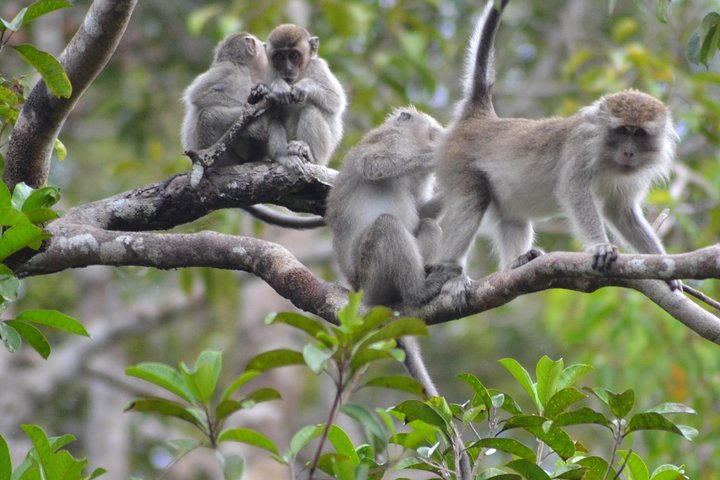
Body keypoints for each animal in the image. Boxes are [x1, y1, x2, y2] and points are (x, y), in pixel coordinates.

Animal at [263, 24, 346, 176]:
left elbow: (336, 100)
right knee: (273, 117)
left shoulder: (319, 67)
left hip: (324, 155)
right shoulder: (268, 72)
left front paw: (305, 86)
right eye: (279, 57)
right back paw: (283, 157)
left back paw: (308, 152)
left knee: (310, 110)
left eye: (293, 55)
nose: (288, 68)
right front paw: (278, 86)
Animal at [432, 0, 680, 290]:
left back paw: (515, 264)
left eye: (639, 134)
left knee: (511, 216)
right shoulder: (580, 148)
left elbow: (620, 211)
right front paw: (599, 246)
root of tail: (479, 119)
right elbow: (573, 190)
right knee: (472, 201)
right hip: (456, 160)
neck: (605, 154)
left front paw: (664, 266)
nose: (629, 152)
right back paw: (446, 272)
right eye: (622, 131)